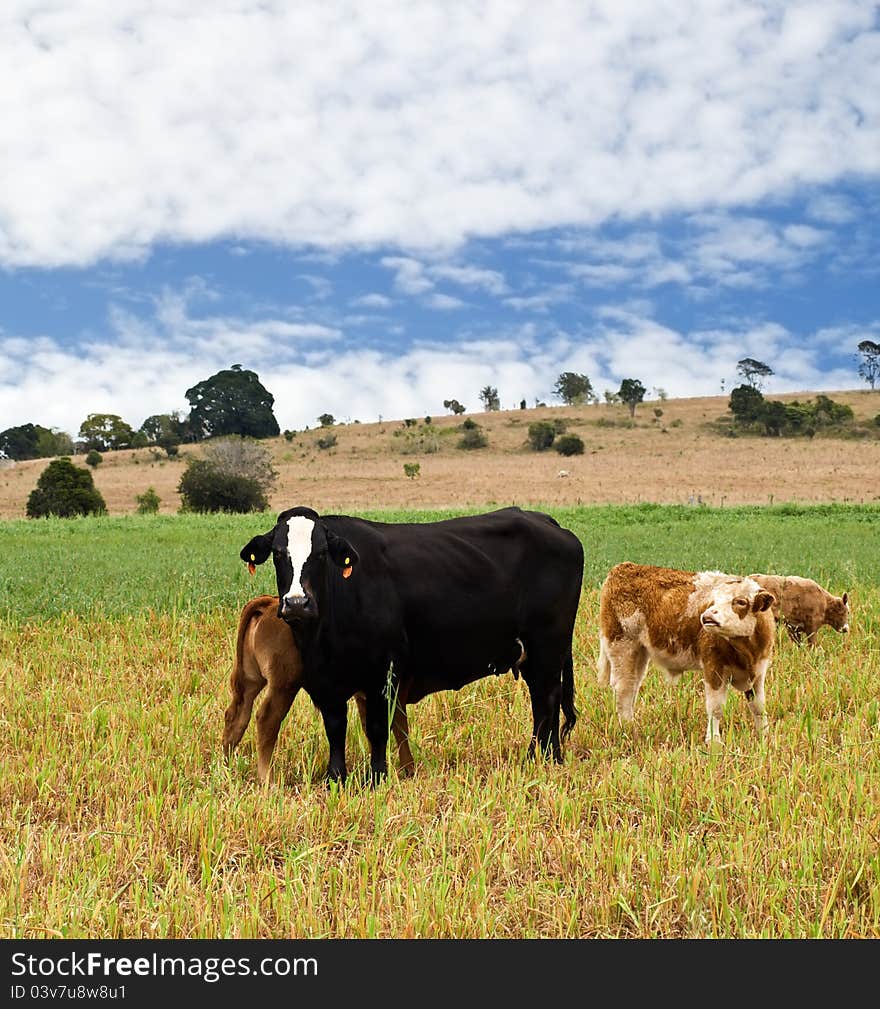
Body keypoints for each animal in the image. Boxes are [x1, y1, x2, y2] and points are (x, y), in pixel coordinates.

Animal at [220, 593, 411, 782]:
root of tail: (269, 604)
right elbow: (399, 728)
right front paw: (406, 769)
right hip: (284, 685)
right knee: (266, 719)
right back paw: (268, 780)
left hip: (250, 680)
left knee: (236, 716)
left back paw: (227, 767)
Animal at [240, 508, 585, 782]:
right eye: (278, 553)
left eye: (321, 554)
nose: (297, 603)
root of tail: (541, 519)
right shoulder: (327, 681)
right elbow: (335, 727)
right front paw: (335, 778)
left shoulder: (382, 672)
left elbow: (377, 727)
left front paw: (376, 777)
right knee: (544, 704)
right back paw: (544, 757)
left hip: (547, 649)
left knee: (546, 701)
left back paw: (542, 759)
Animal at [597, 565, 775, 746]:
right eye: (713, 600)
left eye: (740, 601)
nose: (708, 616)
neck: (747, 652)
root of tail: (624, 567)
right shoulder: (714, 668)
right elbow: (716, 708)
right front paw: (713, 742)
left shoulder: (758, 671)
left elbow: (759, 707)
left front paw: (764, 736)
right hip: (622, 646)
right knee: (623, 689)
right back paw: (628, 729)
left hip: (639, 653)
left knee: (632, 685)